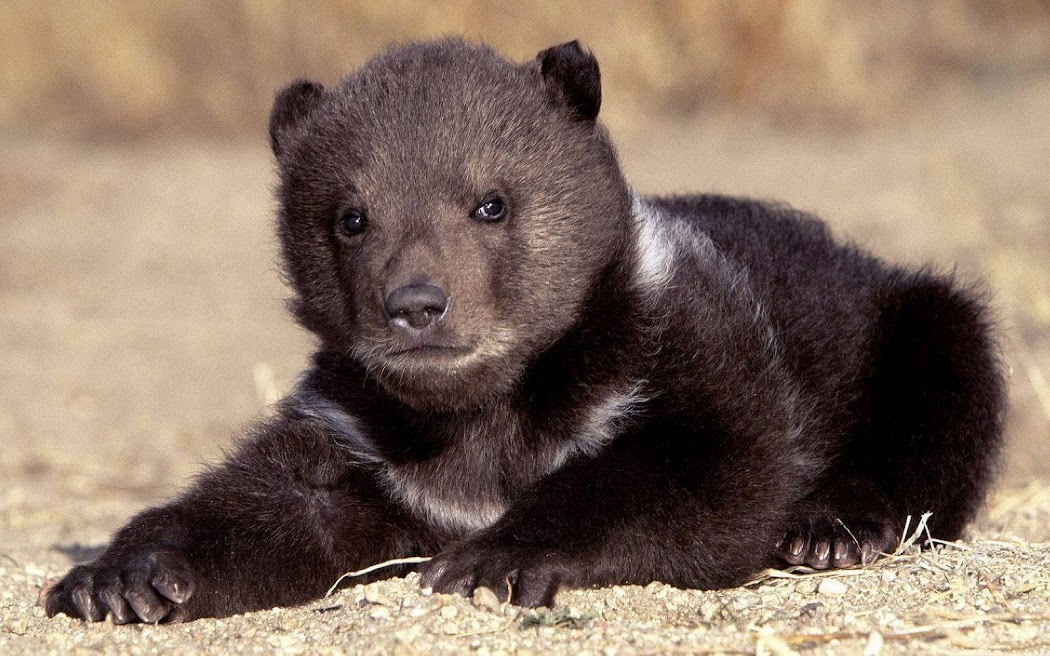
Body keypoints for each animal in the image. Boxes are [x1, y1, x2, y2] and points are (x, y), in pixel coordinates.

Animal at [45, 39, 1004, 623]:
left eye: (491, 202)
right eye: (350, 216)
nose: (417, 304)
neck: (485, 411)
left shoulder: (692, 351)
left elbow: (701, 471)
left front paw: (491, 558)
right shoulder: (362, 435)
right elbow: (272, 504)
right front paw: (123, 575)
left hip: (911, 320)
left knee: (944, 399)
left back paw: (830, 525)